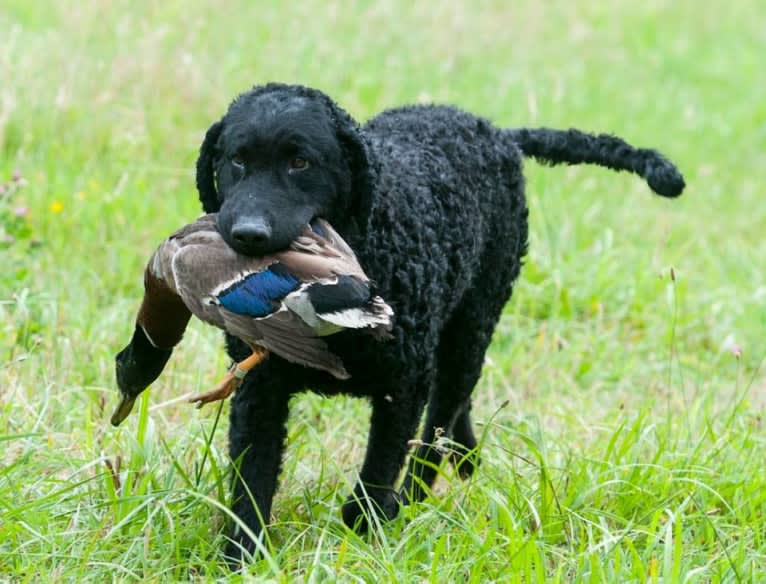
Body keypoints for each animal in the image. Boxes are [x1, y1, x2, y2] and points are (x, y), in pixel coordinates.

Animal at [189, 83, 688, 560]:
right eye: (236, 159)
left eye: (300, 162)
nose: (248, 234)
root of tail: (497, 132)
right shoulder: (260, 388)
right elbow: (252, 481)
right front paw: (241, 556)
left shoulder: (404, 385)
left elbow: (377, 474)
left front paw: (369, 528)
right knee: (452, 410)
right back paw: (465, 459)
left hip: (473, 326)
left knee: (437, 426)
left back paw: (412, 499)